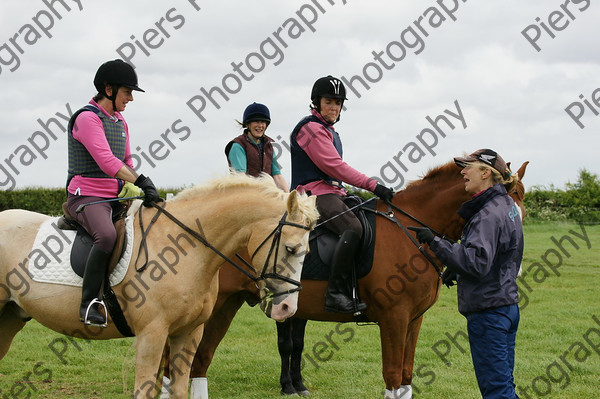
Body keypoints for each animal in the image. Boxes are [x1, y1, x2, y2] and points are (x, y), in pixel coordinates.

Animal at [0, 175, 318, 399]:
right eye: (290, 249)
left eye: (307, 252)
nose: (287, 308)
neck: (185, 246)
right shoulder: (152, 335)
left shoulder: (187, 334)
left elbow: (177, 390)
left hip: (10, 318)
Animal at [166, 161, 528, 398]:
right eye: (506, 209)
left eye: (522, 215)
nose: (516, 271)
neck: (409, 231)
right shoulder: (394, 319)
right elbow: (392, 376)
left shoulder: (414, 320)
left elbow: (406, 376)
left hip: (226, 306)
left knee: (196, 363)